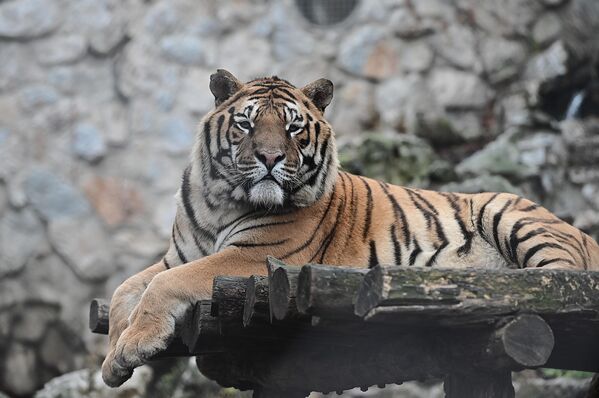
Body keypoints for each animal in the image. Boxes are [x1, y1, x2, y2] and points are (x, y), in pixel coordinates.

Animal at [102, 67, 599, 386]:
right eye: (246, 123)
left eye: (293, 129)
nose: (269, 158)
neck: (220, 200)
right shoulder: (179, 254)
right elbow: (127, 288)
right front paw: (112, 361)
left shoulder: (253, 256)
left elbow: (165, 285)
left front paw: (133, 346)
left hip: (510, 213)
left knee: (560, 281)